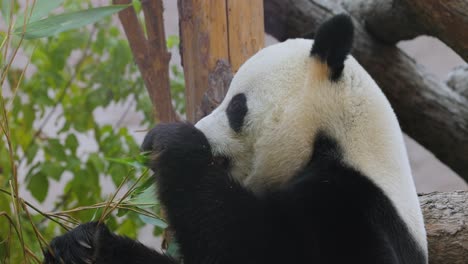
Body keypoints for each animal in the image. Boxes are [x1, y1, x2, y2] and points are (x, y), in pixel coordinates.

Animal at [44, 14, 428, 264]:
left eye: (235, 106)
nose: (202, 130)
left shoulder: (351, 208)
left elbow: (261, 246)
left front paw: (172, 142)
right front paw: (82, 246)